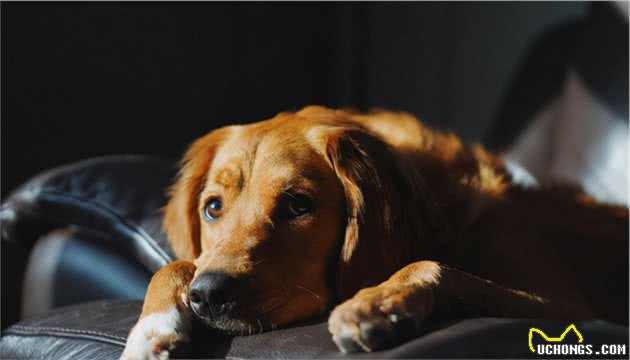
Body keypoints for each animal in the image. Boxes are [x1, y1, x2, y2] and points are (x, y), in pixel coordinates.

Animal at [121, 105, 628, 358]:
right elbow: (176, 266)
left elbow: (432, 263)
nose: (208, 295)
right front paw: (151, 332)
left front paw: (375, 303)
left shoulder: (567, 308)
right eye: (212, 208)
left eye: (298, 205)